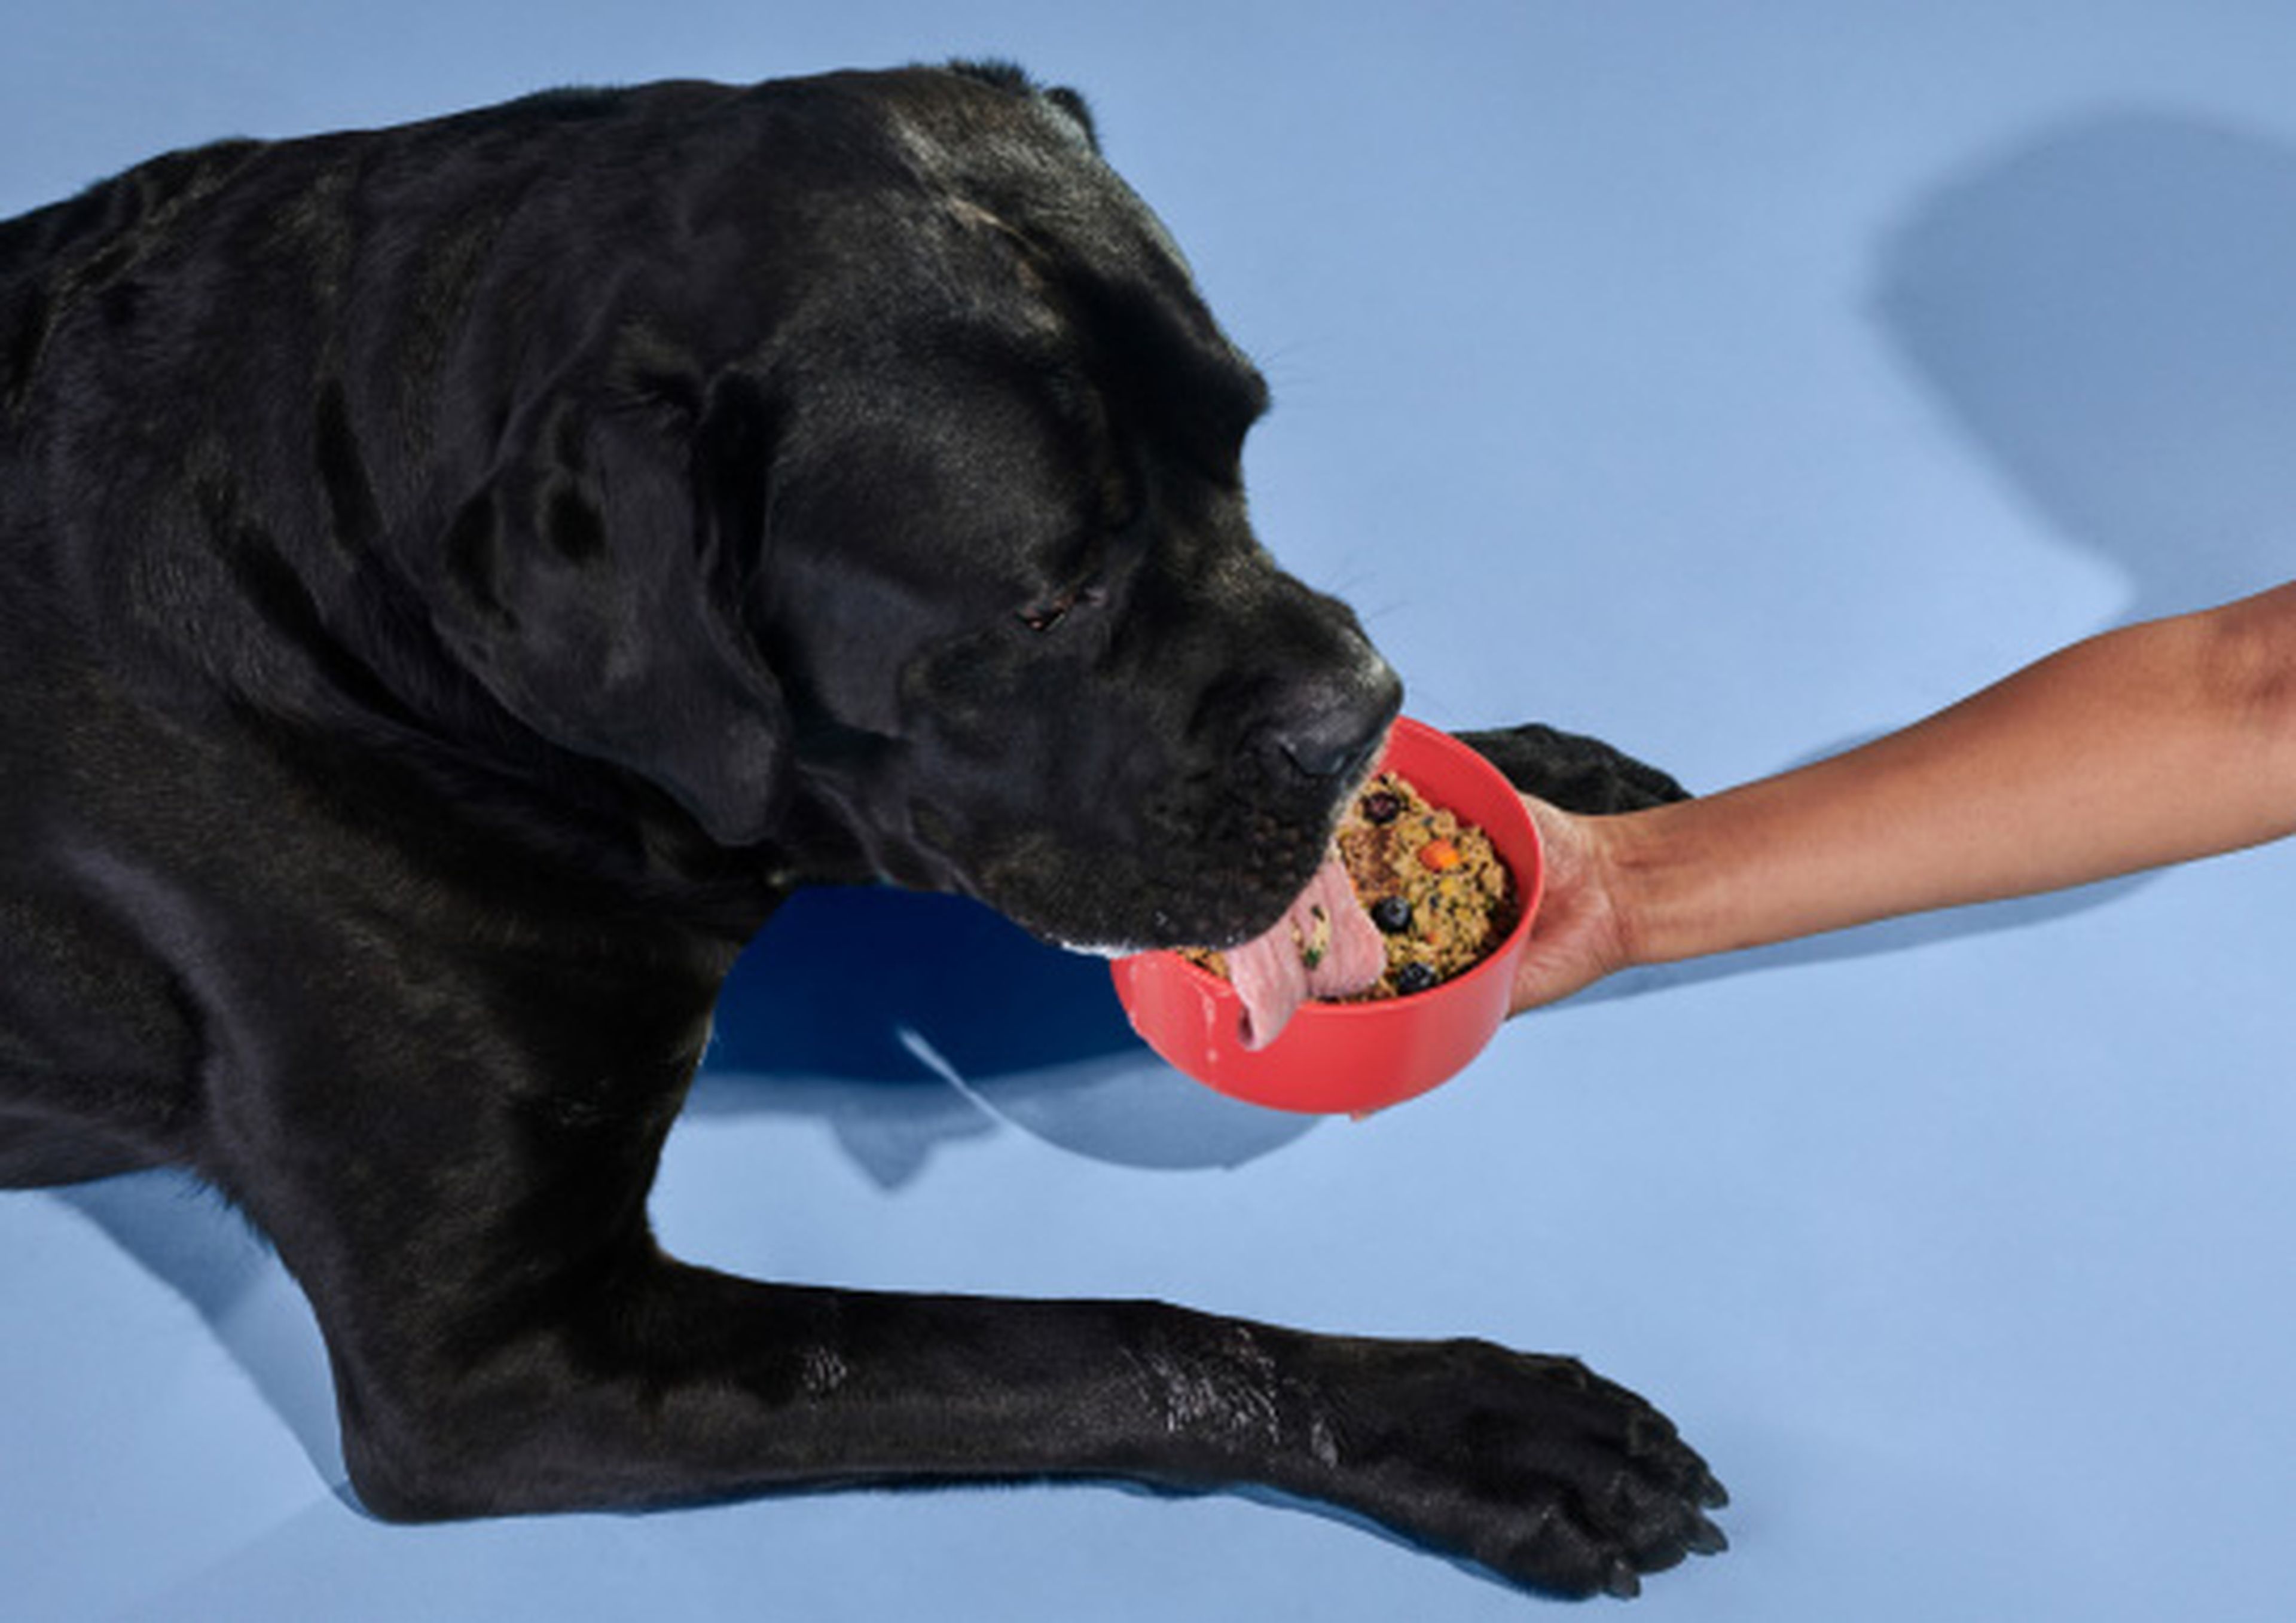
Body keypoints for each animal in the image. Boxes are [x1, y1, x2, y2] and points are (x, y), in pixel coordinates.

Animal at [0, 60, 1726, 1597]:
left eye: (1241, 444)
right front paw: (1469, 1420)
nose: (1358, 708)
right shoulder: (502, 1358)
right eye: (1050, 595)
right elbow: (1077, 1342)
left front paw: (1548, 779)